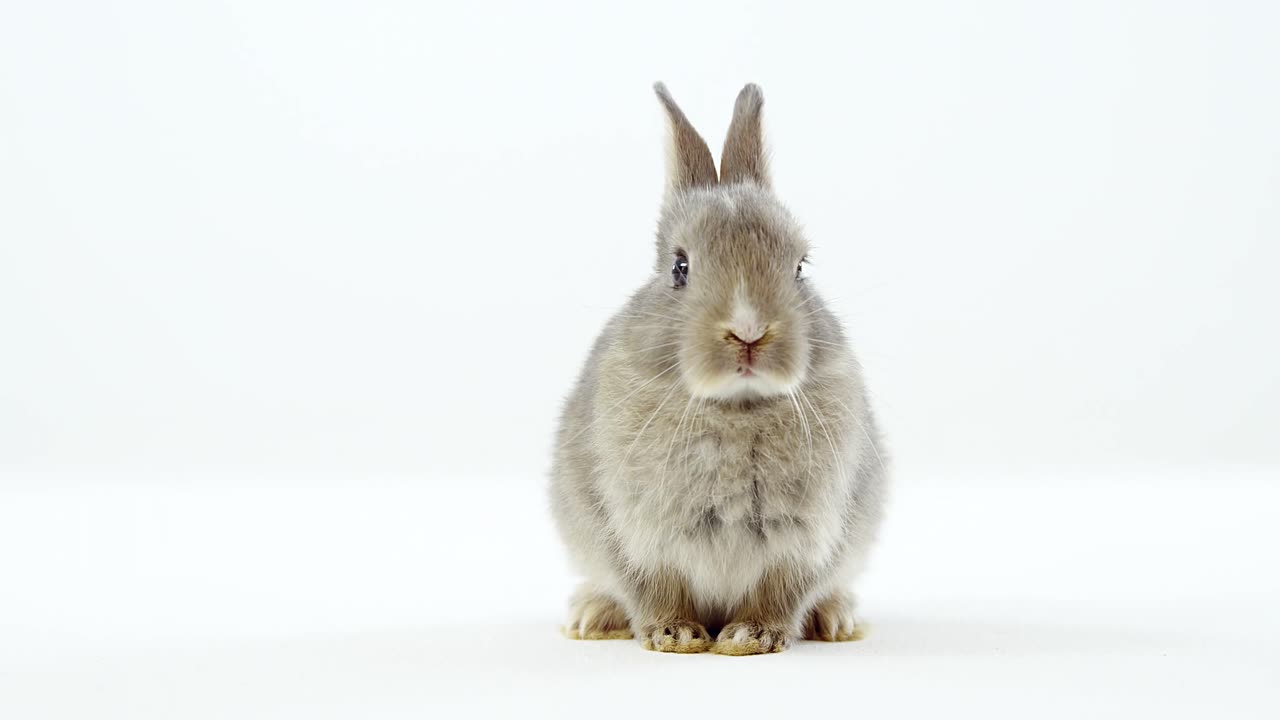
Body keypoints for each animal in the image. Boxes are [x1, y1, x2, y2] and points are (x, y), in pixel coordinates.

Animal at [549, 82, 888, 655]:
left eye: (800, 267)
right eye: (679, 268)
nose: (748, 331)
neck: (734, 407)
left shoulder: (807, 540)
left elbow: (780, 593)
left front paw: (749, 637)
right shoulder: (630, 534)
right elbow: (652, 588)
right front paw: (676, 634)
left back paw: (837, 620)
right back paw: (590, 616)